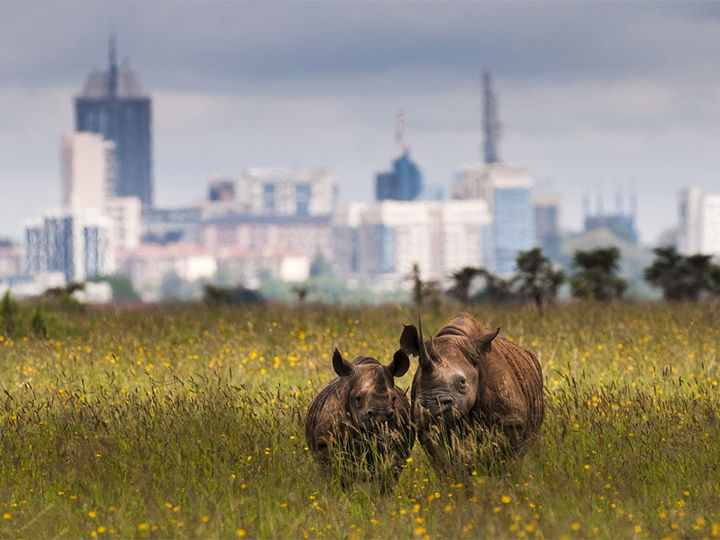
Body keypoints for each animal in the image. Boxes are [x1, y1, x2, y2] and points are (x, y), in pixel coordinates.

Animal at [306, 348, 416, 488]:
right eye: (358, 398)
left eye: (394, 398)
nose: (381, 417)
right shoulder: (324, 443)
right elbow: (337, 475)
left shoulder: (399, 442)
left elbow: (389, 473)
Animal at [400, 312, 544, 472]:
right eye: (418, 382)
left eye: (462, 382)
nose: (432, 407)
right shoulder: (426, 428)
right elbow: (445, 462)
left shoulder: (511, 420)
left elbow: (506, 458)